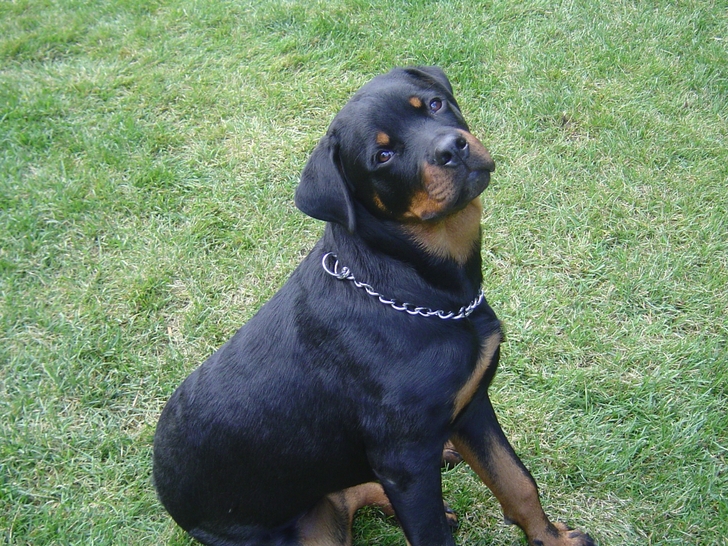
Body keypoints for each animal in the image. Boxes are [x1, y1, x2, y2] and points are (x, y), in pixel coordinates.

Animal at [153, 66, 595, 546]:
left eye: (434, 104)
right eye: (383, 156)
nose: (452, 148)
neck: (421, 292)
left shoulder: (473, 403)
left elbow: (516, 482)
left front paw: (553, 539)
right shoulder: (405, 460)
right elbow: (434, 533)